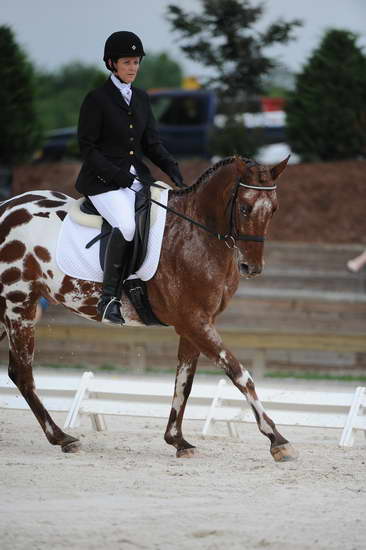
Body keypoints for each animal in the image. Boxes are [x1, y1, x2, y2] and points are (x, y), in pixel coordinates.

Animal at [0, 157, 298, 464]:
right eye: (244, 207)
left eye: (274, 209)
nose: (252, 267)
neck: (197, 234)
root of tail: (8, 207)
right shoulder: (194, 322)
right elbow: (239, 374)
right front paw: (278, 441)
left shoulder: (194, 325)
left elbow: (184, 383)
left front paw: (178, 440)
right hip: (19, 305)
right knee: (22, 373)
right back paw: (63, 438)